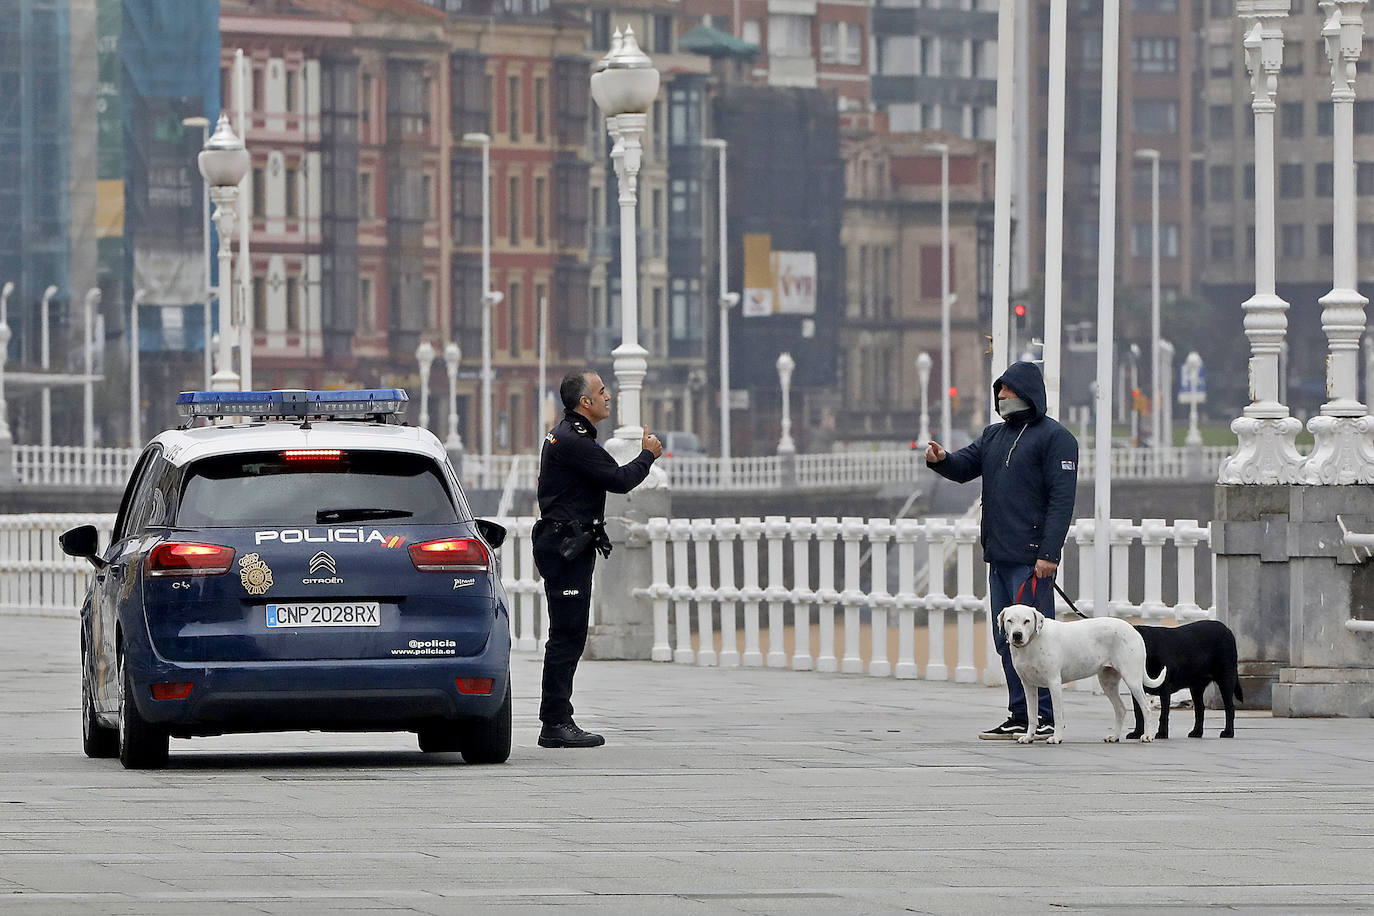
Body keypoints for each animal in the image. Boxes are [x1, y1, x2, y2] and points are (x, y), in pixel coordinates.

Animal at [1000, 604, 1170, 747]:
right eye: (1009, 620)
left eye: (1027, 621)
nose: (1017, 635)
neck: (1033, 642)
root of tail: (1134, 630)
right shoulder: (1028, 685)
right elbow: (1032, 715)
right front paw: (1029, 737)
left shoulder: (1054, 683)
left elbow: (1057, 714)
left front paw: (1056, 738)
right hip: (1107, 681)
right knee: (1120, 709)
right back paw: (1115, 736)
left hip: (1132, 679)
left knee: (1146, 708)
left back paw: (1147, 736)